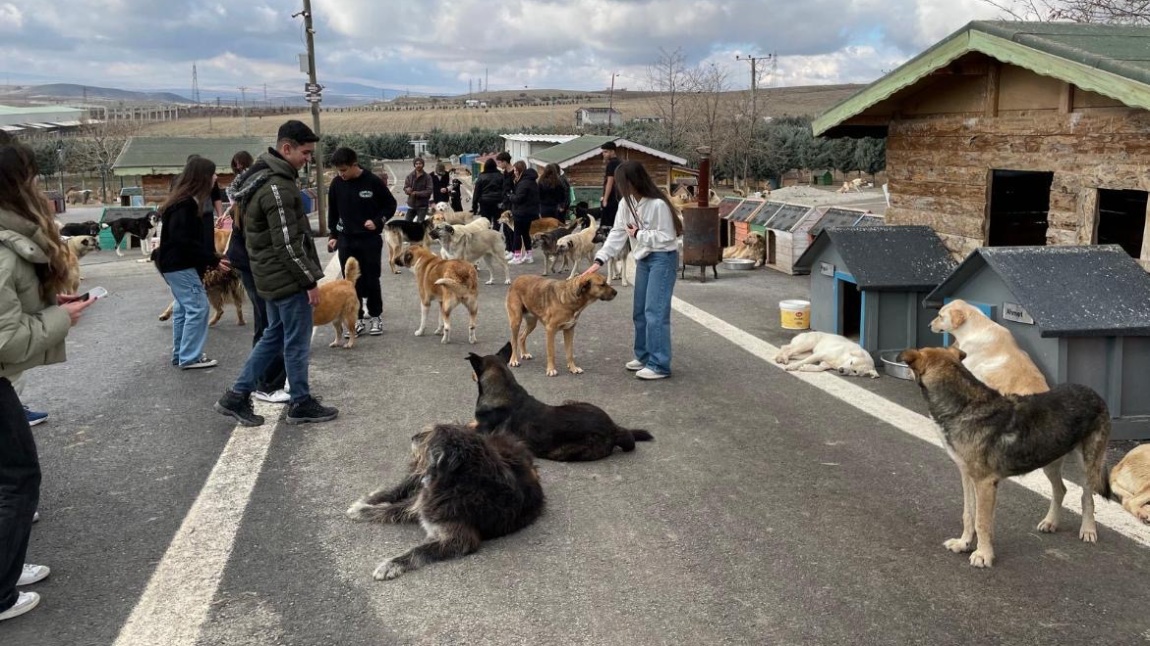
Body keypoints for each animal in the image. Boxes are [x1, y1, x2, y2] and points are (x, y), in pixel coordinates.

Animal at [342, 423, 545, 579]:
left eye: (431, 438)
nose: (413, 437)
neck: (459, 484)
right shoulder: (425, 502)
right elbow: (393, 508)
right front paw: (363, 510)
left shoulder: (460, 538)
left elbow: (419, 550)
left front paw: (390, 565)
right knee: (401, 487)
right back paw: (371, 499)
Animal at [462, 342, 653, 457]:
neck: (504, 389)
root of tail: (613, 428)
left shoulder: (481, 431)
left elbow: (465, 427)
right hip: (572, 402)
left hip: (563, 451)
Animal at [897, 347, 1113, 563]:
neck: (965, 405)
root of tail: (1092, 392)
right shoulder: (968, 477)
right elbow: (969, 514)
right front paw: (964, 543)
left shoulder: (984, 483)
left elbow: (981, 522)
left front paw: (983, 555)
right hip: (1049, 461)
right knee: (1061, 489)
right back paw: (1051, 522)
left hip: (1088, 465)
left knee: (1087, 496)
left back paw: (1088, 529)